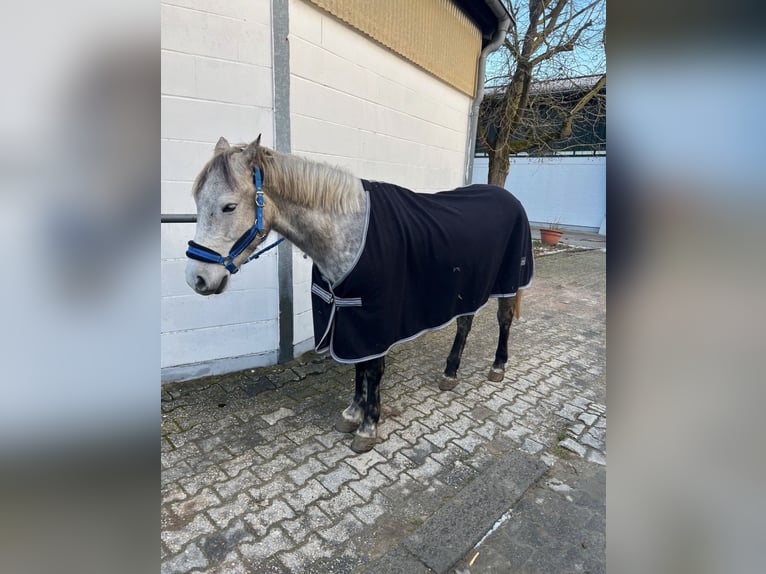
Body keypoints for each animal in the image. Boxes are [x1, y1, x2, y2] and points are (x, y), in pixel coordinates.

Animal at [185, 136, 534, 453]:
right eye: (197, 200)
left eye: (229, 206)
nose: (197, 279)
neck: (348, 232)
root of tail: (510, 198)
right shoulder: (349, 316)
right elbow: (358, 367)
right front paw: (352, 414)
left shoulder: (372, 320)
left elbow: (373, 370)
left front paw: (368, 427)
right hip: (468, 290)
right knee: (464, 325)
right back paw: (450, 373)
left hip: (507, 283)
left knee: (503, 320)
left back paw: (498, 367)